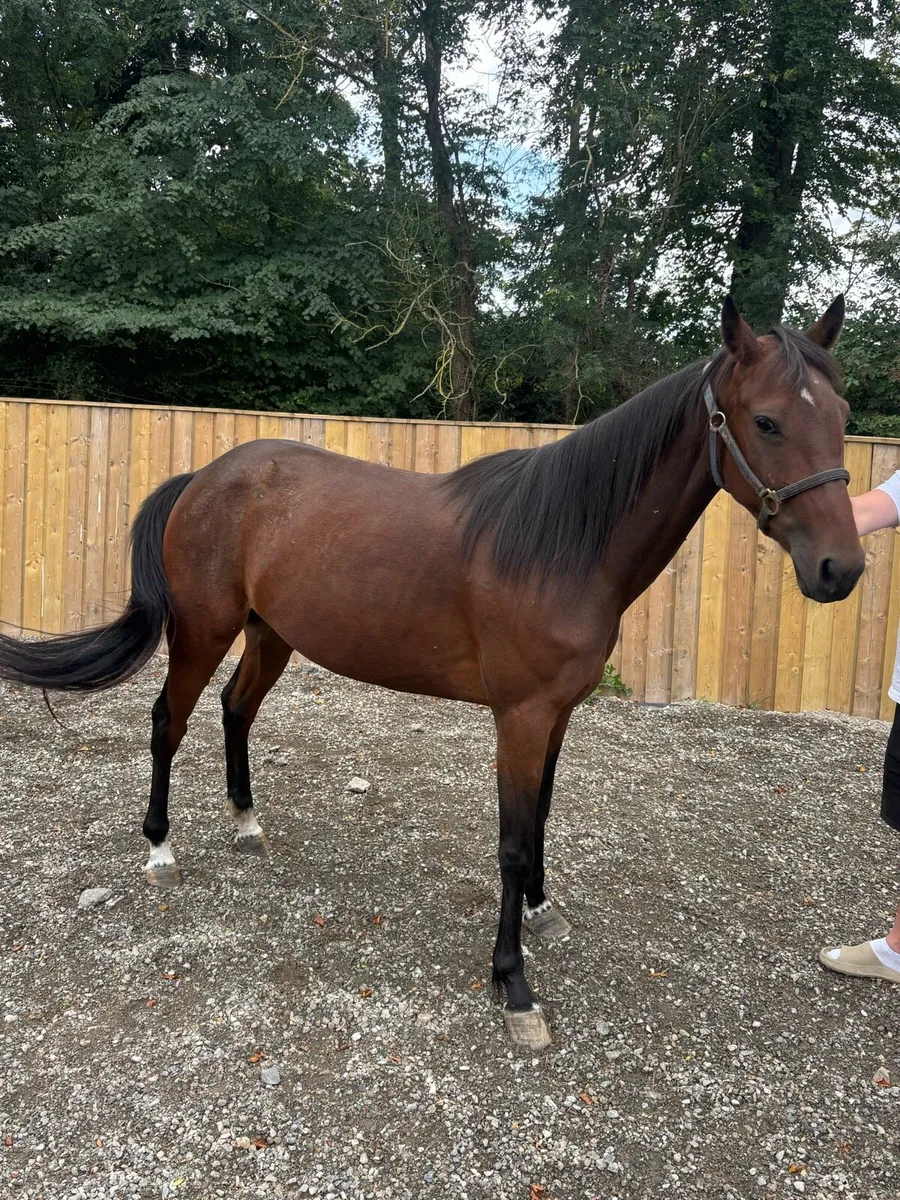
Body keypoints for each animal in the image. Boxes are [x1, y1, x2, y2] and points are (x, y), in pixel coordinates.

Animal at [0, 296, 864, 1049]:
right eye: (767, 420)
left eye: (843, 418)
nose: (842, 569)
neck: (565, 543)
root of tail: (207, 478)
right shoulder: (520, 716)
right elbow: (511, 841)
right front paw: (513, 984)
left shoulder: (558, 713)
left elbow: (540, 819)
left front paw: (544, 912)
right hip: (204, 632)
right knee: (167, 722)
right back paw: (158, 848)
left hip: (272, 635)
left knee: (235, 710)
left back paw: (246, 821)